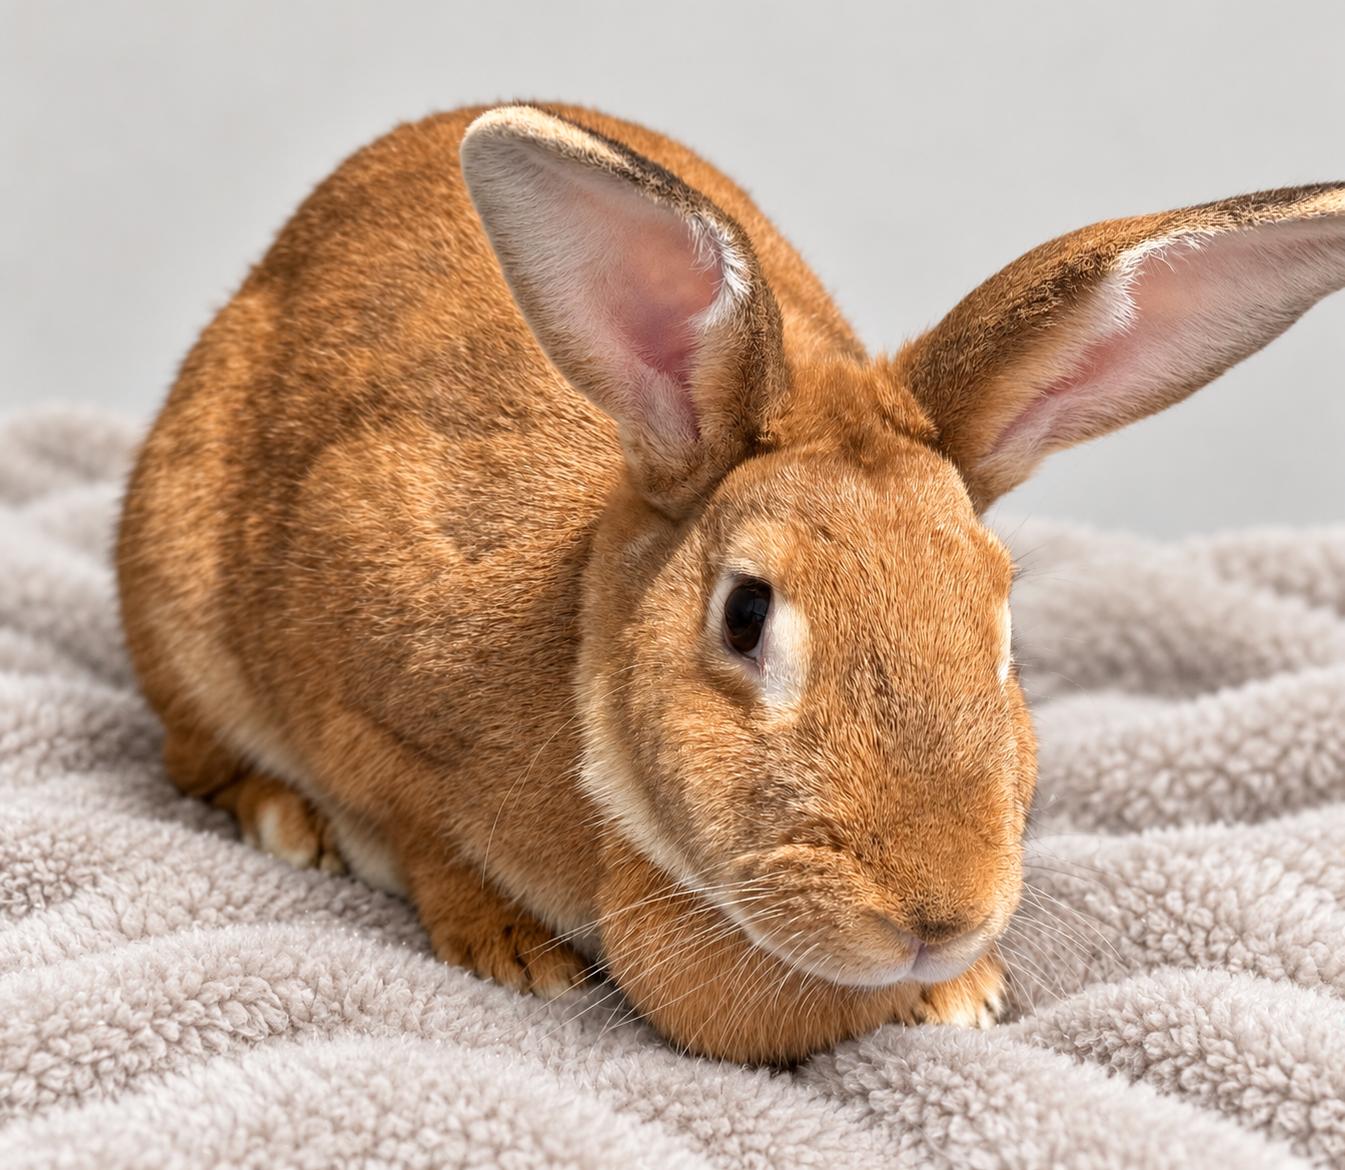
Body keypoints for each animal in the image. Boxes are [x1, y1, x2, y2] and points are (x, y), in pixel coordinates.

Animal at [116, 101, 1345, 1064]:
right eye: (745, 616)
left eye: (1003, 632)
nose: (937, 921)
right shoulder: (363, 705)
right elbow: (422, 833)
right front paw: (514, 952)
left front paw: (960, 995)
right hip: (176, 603)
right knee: (194, 754)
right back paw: (286, 820)